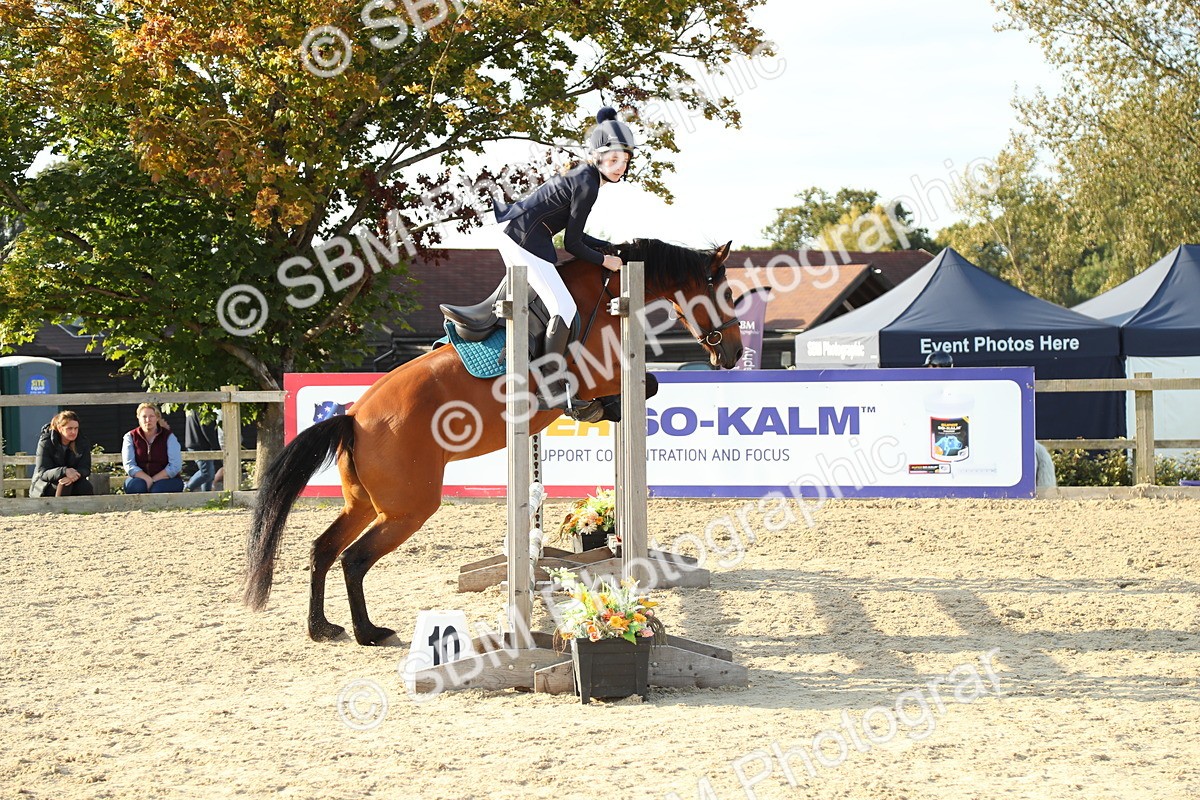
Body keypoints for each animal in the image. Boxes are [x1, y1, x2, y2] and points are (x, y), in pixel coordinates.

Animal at [243, 238, 744, 645]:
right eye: (725, 293)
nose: (735, 353)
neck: (604, 298)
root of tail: (352, 417)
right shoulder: (603, 374)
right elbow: (648, 384)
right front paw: (596, 410)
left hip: (365, 503)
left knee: (324, 549)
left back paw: (322, 628)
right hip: (408, 508)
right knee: (354, 558)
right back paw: (369, 632)